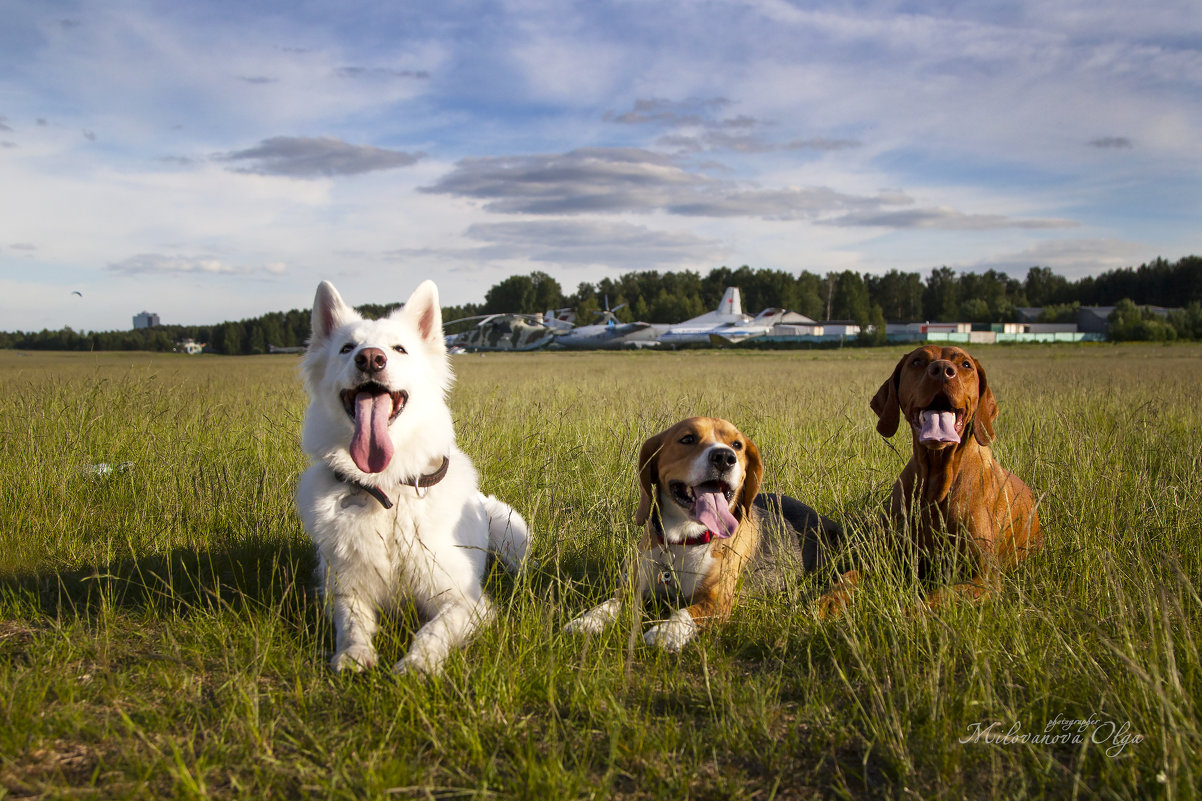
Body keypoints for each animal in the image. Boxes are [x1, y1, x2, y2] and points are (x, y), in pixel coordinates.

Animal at [295, 277, 531, 668]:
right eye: (347, 348)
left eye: (399, 349)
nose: (370, 358)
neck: (386, 488)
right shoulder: (345, 589)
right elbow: (352, 623)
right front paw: (354, 655)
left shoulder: (465, 601)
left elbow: (434, 629)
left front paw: (418, 664)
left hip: (512, 538)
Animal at [564, 413, 841, 654]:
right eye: (687, 439)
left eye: (737, 445)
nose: (725, 457)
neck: (684, 540)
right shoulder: (633, 586)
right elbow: (609, 604)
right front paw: (587, 620)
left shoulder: (717, 601)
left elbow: (685, 613)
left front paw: (665, 632)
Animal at [817, 343, 1043, 610]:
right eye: (917, 361)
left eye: (965, 364)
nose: (943, 370)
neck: (936, 480)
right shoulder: (885, 558)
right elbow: (847, 577)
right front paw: (827, 603)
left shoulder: (983, 579)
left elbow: (934, 600)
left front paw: (909, 613)